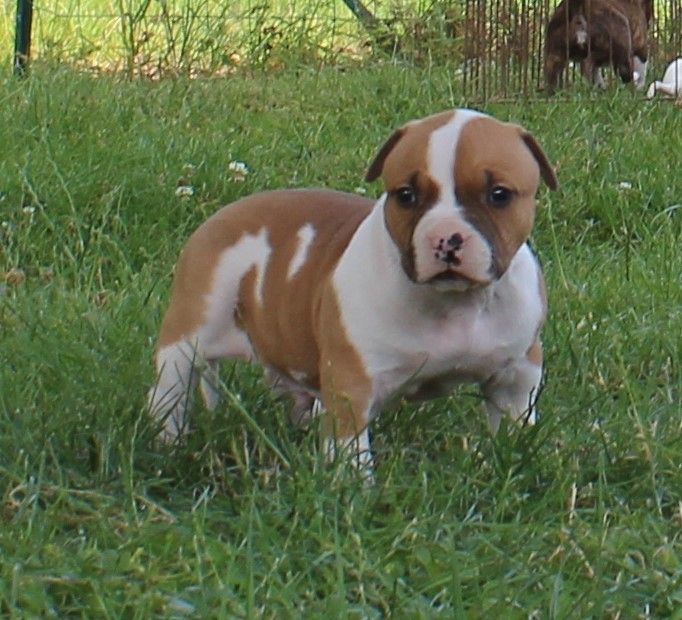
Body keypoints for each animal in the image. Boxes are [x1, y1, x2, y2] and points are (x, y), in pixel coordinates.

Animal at [148, 109, 558, 472]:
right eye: (406, 195)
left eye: (499, 194)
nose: (446, 239)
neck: (456, 303)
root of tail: (219, 217)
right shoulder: (352, 386)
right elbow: (353, 453)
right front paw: (356, 491)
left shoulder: (516, 377)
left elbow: (513, 425)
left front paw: (512, 462)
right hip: (186, 338)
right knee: (171, 394)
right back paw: (167, 447)